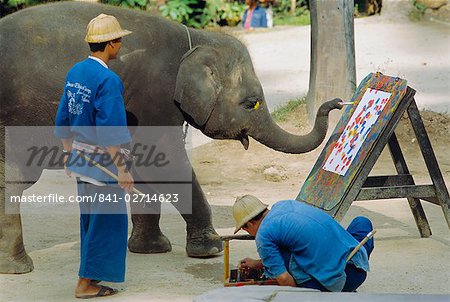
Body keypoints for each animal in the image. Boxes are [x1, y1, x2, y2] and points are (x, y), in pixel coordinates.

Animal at [0, 1, 342, 274]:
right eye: (251, 103)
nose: (336, 103)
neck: (196, 39)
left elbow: (142, 167)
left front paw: (151, 249)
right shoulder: (154, 98)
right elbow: (166, 165)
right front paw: (211, 249)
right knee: (12, 181)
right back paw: (19, 268)